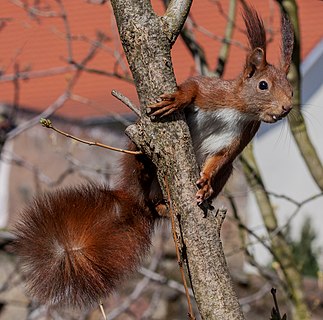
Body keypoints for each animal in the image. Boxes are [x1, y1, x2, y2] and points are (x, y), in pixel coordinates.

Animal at [13, 3, 294, 310]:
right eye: (263, 85)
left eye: (291, 89)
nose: (287, 108)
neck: (239, 111)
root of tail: (133, 202)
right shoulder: (213, 92)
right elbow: (194, 87)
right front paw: (178, 99)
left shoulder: (238, 139)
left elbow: (219, 160)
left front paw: (206, 182)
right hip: (135, 155)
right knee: (141, 172)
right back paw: (145, 168)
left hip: (209, 182)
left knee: (161, 205)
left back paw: (174, 203)